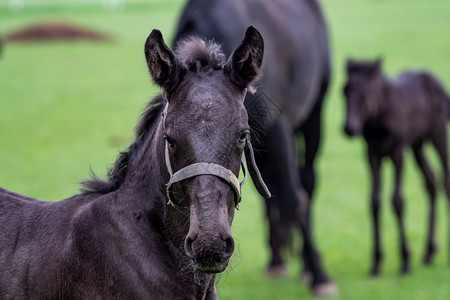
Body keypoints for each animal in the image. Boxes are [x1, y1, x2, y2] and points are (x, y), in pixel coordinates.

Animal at [174, 0, 336, 296]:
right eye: (173, 141)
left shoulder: (277, 127)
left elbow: (294, 199)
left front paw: (320, 276)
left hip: (314, 113)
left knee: (306, 181)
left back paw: (308, 267)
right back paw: (277, 260)